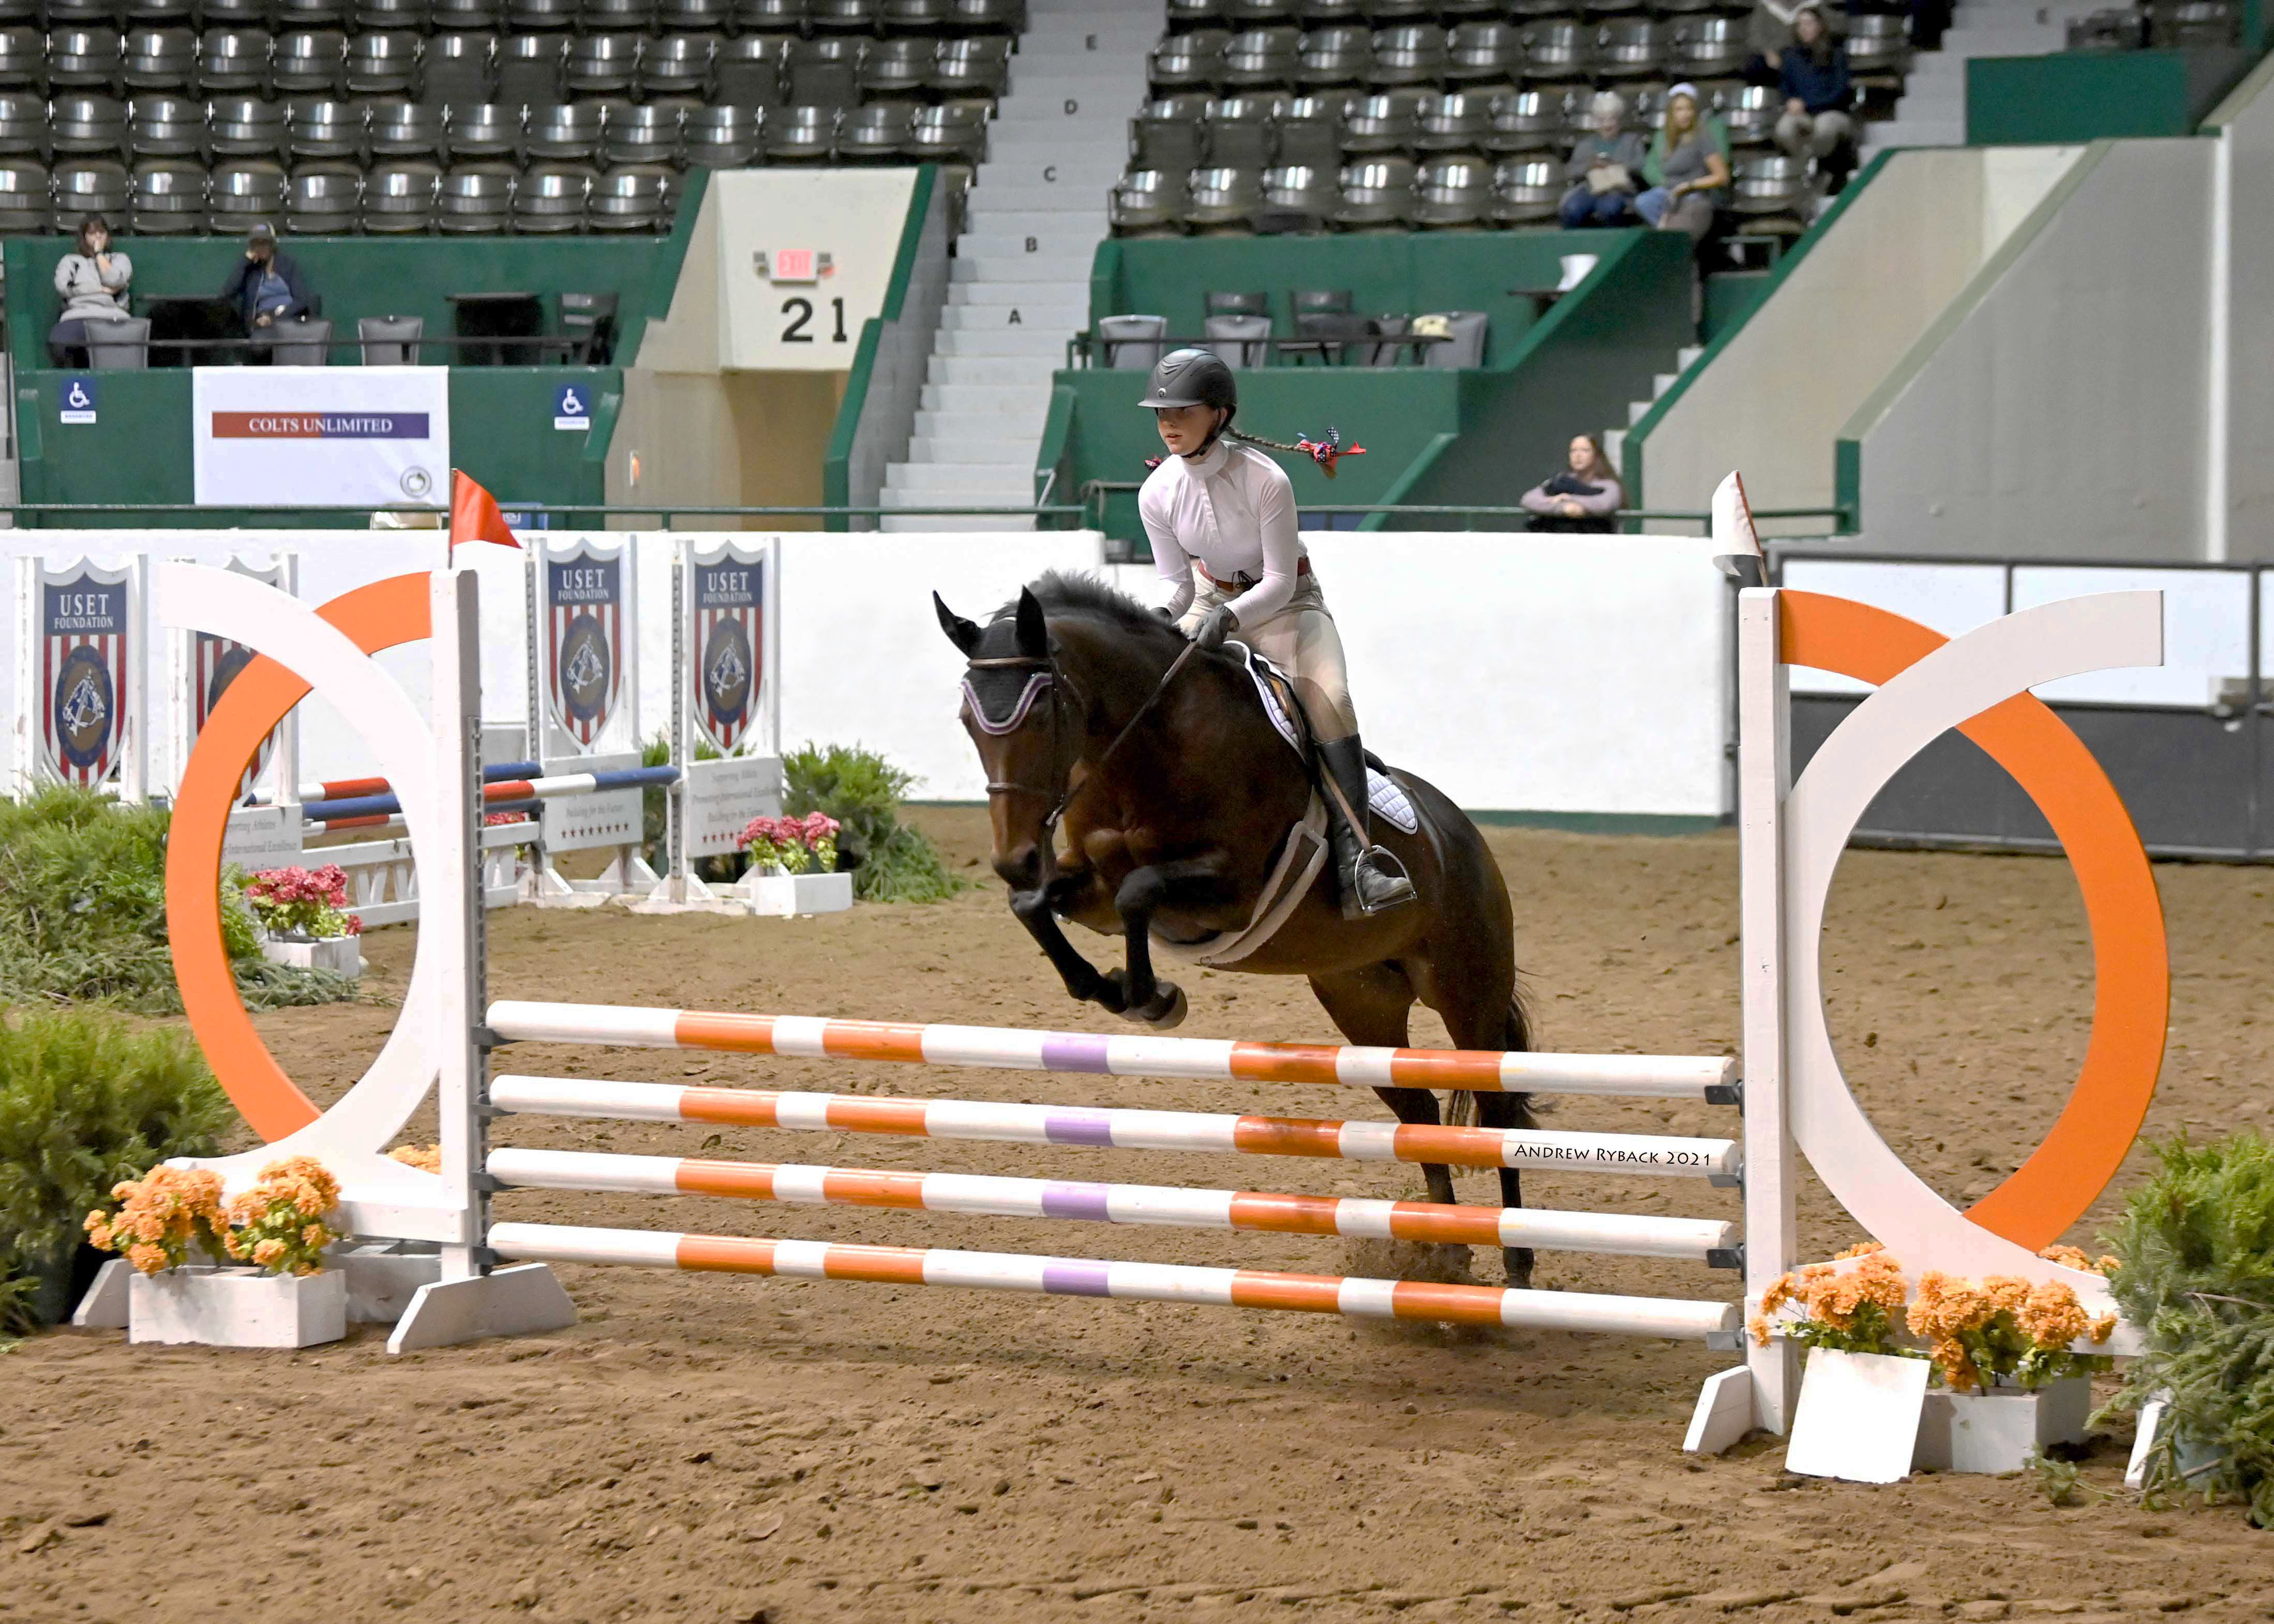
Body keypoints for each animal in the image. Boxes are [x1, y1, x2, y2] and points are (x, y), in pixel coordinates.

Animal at [927, 575, 1546, 1283]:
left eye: (1041, 712)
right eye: (968, 719)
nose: (1014, 857)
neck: (1144, 745)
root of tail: (1466, 836)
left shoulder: (1232, 889)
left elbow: (1140, 890)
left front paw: (1151, 998)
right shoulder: (1091, 888)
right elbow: (1033, 906)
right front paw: (1113, 988)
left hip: (1467, 992)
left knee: (1496, 1111)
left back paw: (1516, 1261)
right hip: (1363, 1002)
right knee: (1416, 1114)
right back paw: (1443, 1254)